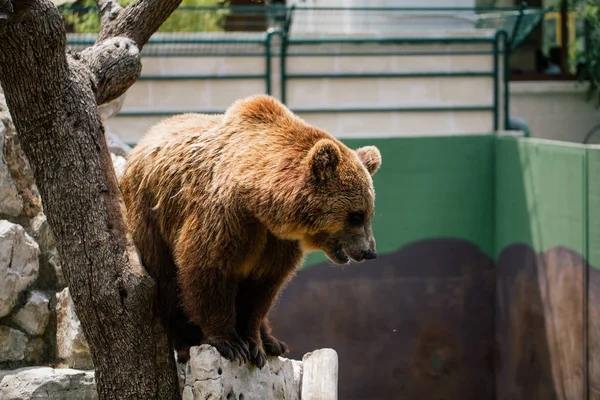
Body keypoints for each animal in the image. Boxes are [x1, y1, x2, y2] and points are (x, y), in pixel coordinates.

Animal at [120, 94, 382, 368]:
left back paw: (273, 342)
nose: (370, 252)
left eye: (369, 213)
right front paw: (230, 343)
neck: (259, 203)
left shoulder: (275, 240)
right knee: (167, 279)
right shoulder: (224, 217)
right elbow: (207, 268)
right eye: (356, 215)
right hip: (150, 214)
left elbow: (262, 288)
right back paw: (186, 342)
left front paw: (255, 344)